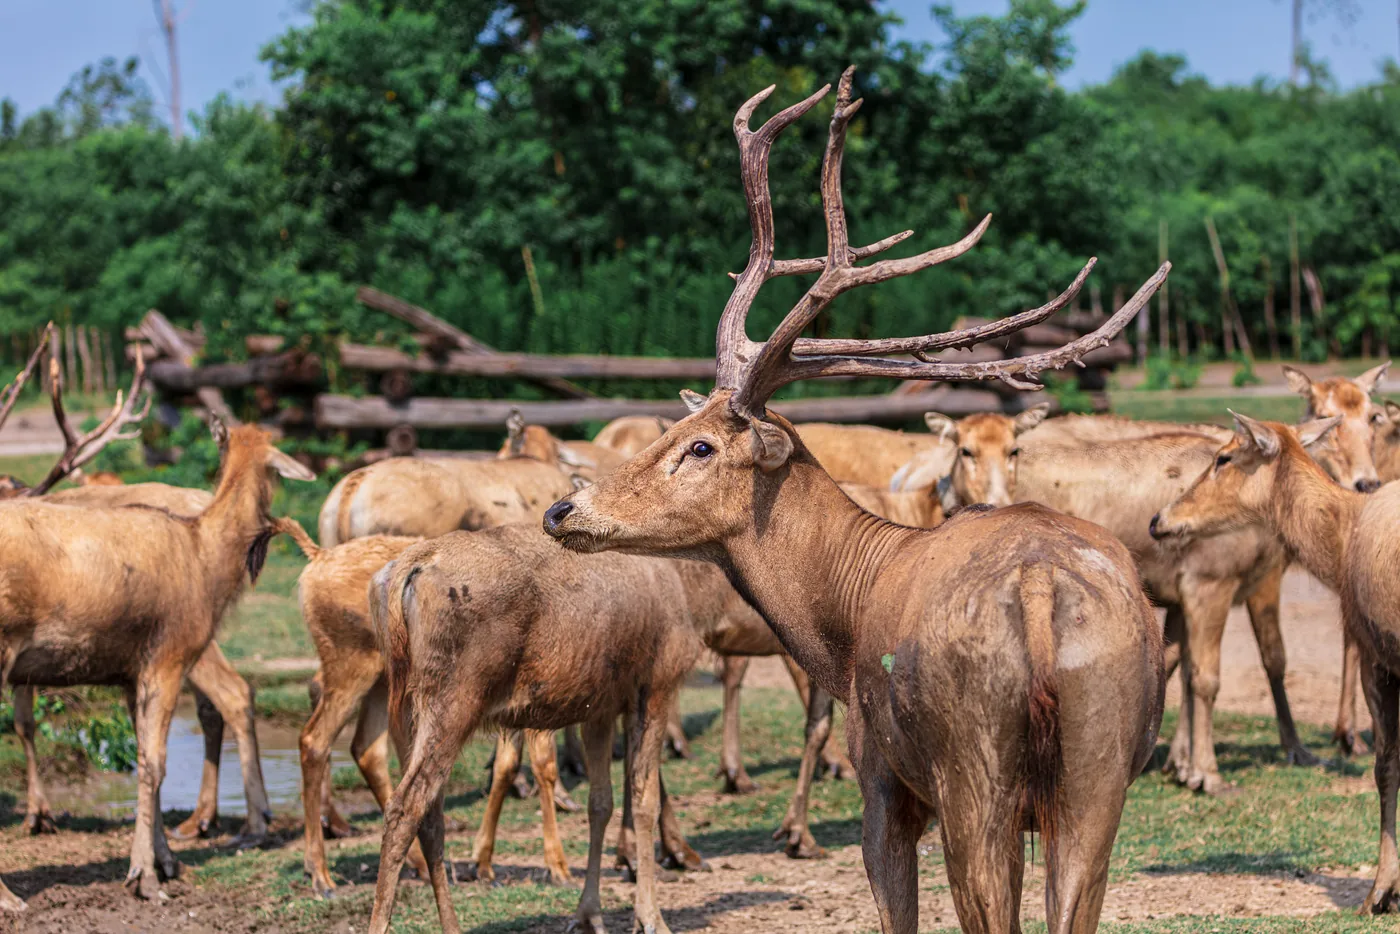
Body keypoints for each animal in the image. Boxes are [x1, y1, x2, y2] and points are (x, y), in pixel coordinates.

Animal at [0, 382, 314, 910]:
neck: (206, 559)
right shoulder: (170, 654)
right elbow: (154, 765)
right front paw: (143, 876)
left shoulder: (131, 671)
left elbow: (149, 759)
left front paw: (166, 862)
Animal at [543, 67, 1168, 933]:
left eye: (700, 446)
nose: (562, 511)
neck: (836, 624)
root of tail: (1041, 594)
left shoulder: (882, 775)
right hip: (1096, 775)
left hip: (970, 772)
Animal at [1147, 411, 1400, 912]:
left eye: (1224, 457)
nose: (1158, 519)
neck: (1340, 545)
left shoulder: (1375, 653)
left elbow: (1385, 769)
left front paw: (1380, 892)